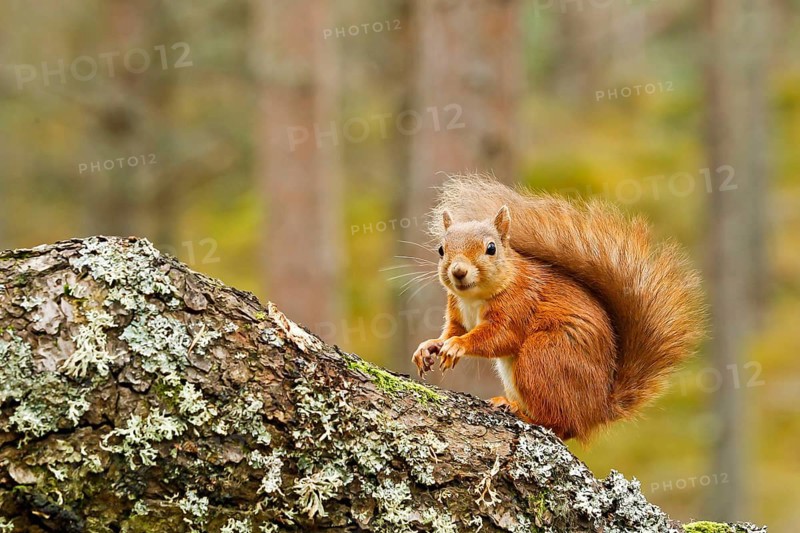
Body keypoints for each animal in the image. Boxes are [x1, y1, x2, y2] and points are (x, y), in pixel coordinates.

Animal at [412, 175, 705, 441]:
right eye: (441, 249)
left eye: (491, 248)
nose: (458, 271)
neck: (475, 297)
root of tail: (596, 410)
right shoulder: (457, 313)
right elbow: (452, 330)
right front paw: (429, 346)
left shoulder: (519, 305)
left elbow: (500, 336)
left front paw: (457, 346)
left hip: (543, 357)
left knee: (561, 425)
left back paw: (520, 412)